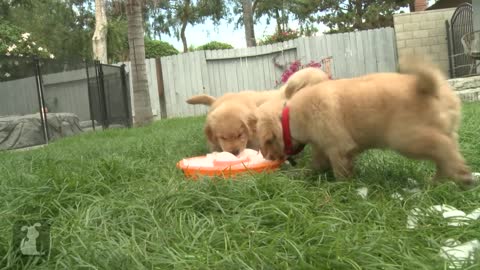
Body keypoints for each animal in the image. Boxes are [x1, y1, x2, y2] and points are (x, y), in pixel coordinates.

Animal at [255, 56, 472, 187]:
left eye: (266, 143)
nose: (267, 157)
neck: (288, 114)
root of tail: (432, 87)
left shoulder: (338, 147)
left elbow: (340, 169)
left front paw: (342, 188)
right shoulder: (323, 147)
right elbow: (317, 164)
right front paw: (303, 175)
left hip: (406, 137)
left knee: (442, 148)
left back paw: (461, 176)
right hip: (443, 132)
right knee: (447, 153)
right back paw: (437, 181)